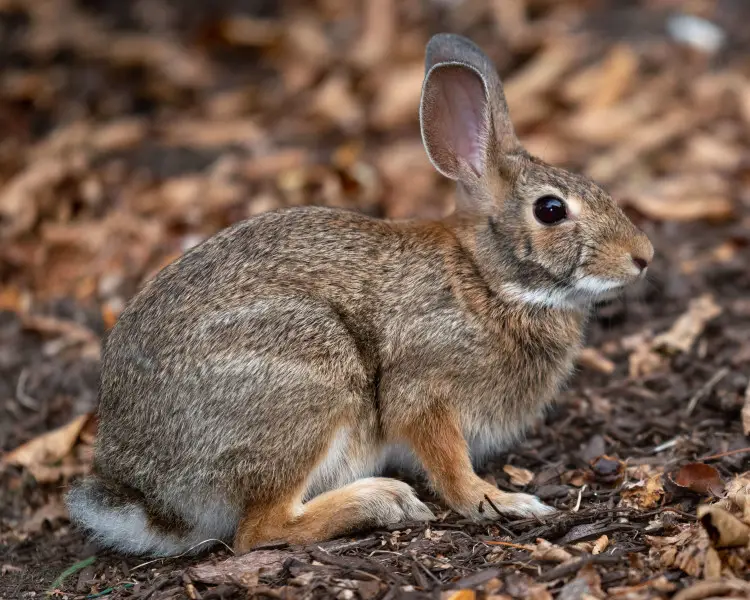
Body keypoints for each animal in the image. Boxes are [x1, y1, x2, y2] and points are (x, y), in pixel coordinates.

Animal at [66, 34, 652, 556]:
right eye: (551, 210)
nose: (642, 256)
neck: (486, 279)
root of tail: (150, 496)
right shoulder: (423, 389)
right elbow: (450, 466)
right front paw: (504, 502)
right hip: (311, 380)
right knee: (259, 530)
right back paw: (383, 501)